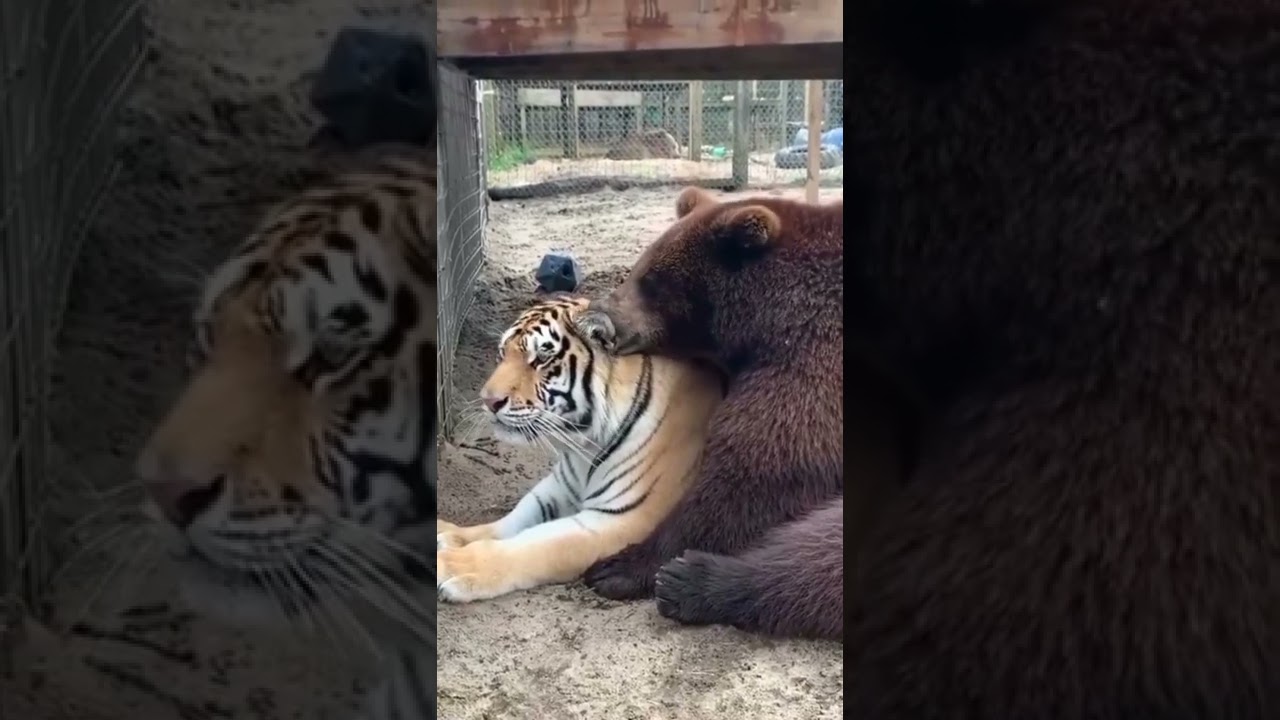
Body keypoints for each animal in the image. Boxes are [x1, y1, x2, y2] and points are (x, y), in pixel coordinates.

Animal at [579, 186, 913, 641]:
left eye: (653, 283)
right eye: (638, 269)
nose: (601, 324)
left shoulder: (820, 359)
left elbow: (759, 469)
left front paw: (619, 565)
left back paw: (698, 581)